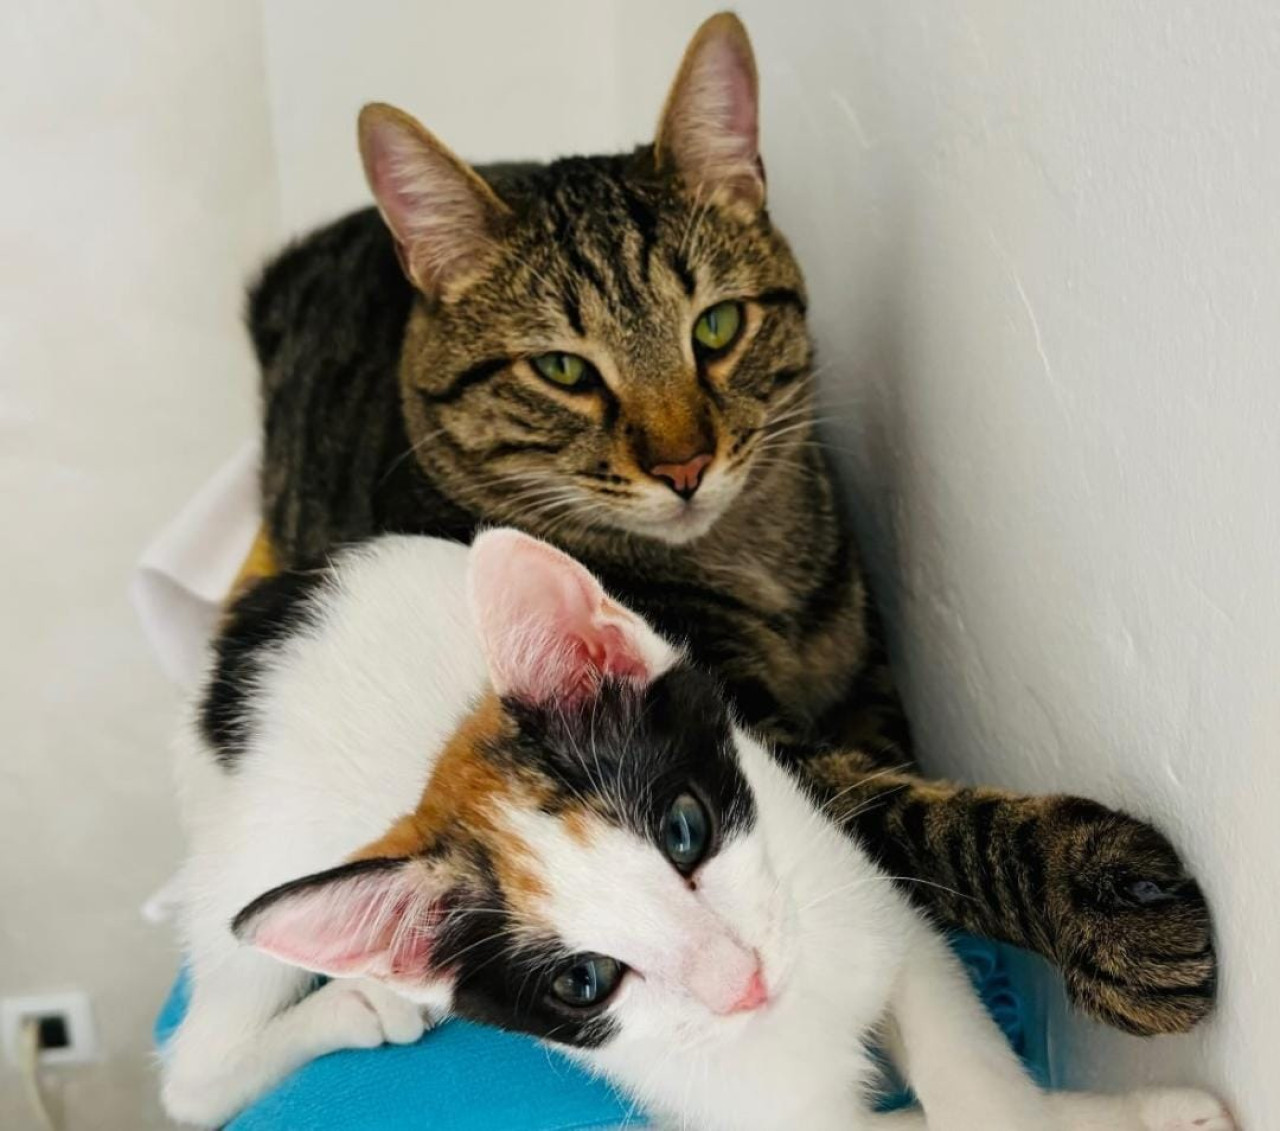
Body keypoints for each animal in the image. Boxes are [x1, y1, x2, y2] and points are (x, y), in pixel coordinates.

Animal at [162, 534, 1228, 1131]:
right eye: (584, 979)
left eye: (684, 828)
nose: (742, 981)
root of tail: (247, 630)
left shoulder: (860, 893)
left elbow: (971, 1077)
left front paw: (1120, 1113)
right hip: (255, 851)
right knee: (190, 1074)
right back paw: (356, 1004)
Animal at [244, 11, 1213, 1033]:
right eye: (562, 369)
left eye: (715, 328)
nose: (683, 466)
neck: (755, 562)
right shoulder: (720, 745)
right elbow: (913, 817)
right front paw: (1097, 892)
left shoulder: (862, 677)